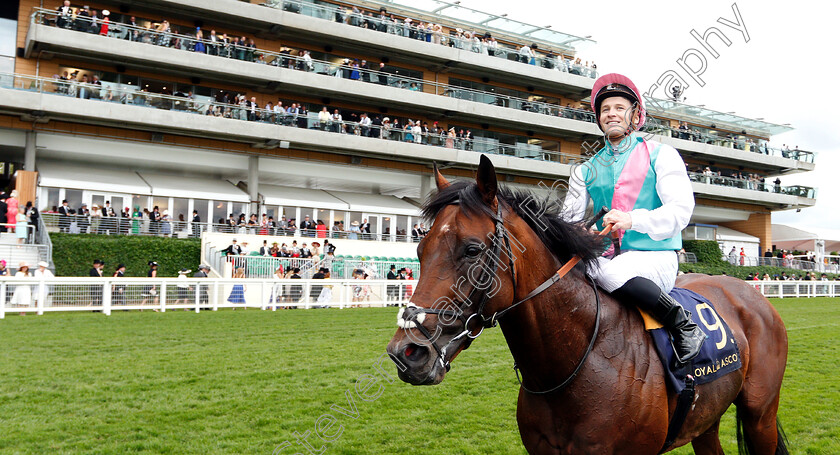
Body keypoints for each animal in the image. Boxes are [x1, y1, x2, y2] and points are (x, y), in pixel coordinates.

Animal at [386, 157, 788, 455]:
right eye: (420, 249)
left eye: (471, 250)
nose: (406, 353)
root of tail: (750, 293)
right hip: (706, 420)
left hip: (761, 416)